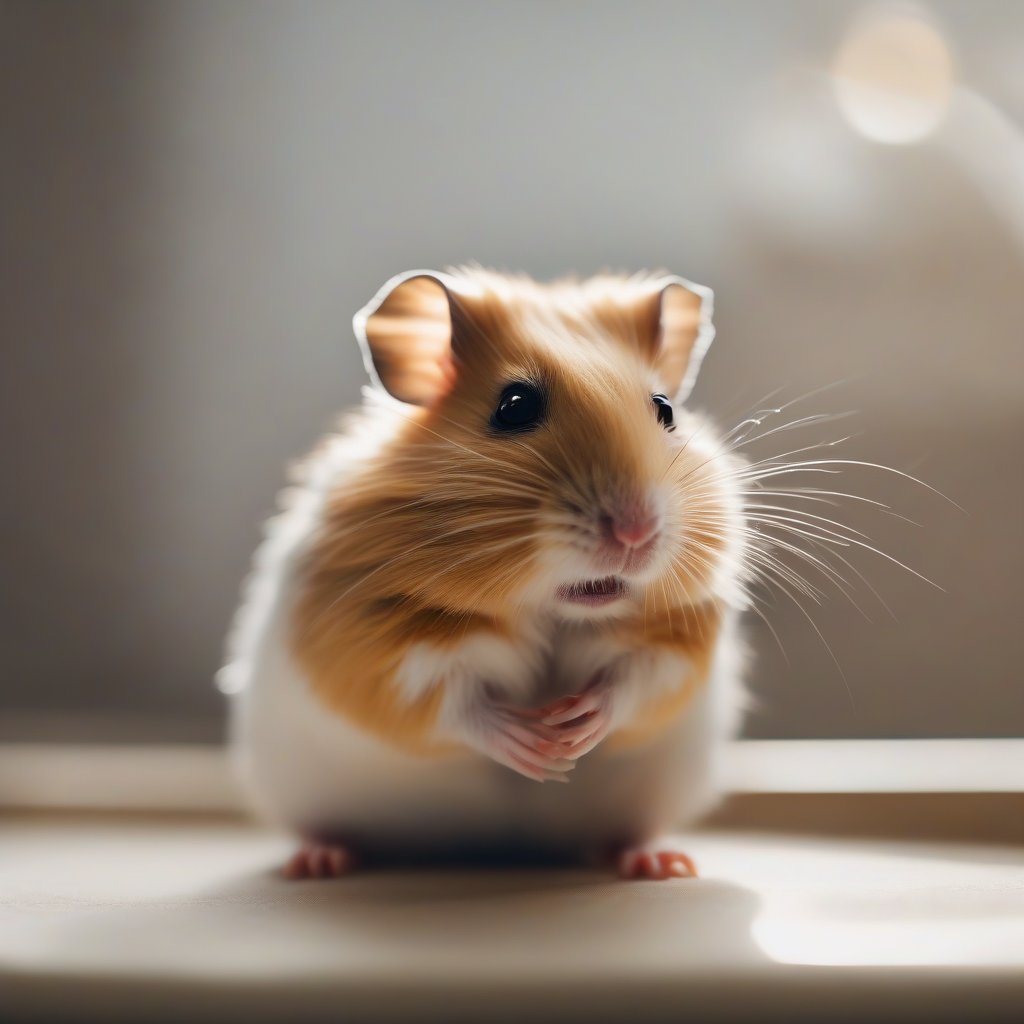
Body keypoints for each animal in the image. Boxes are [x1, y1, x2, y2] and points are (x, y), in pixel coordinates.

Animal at [219, 267, 749, 880]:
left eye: (665, 409)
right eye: (514, 406)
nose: (636, 533)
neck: (551, 610)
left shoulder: (678, 635)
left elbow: (637, 682)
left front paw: (574, 727)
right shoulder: (372, 642)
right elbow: (453, 703)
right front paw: (540, 747)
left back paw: (659, 863)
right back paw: (318, 861)